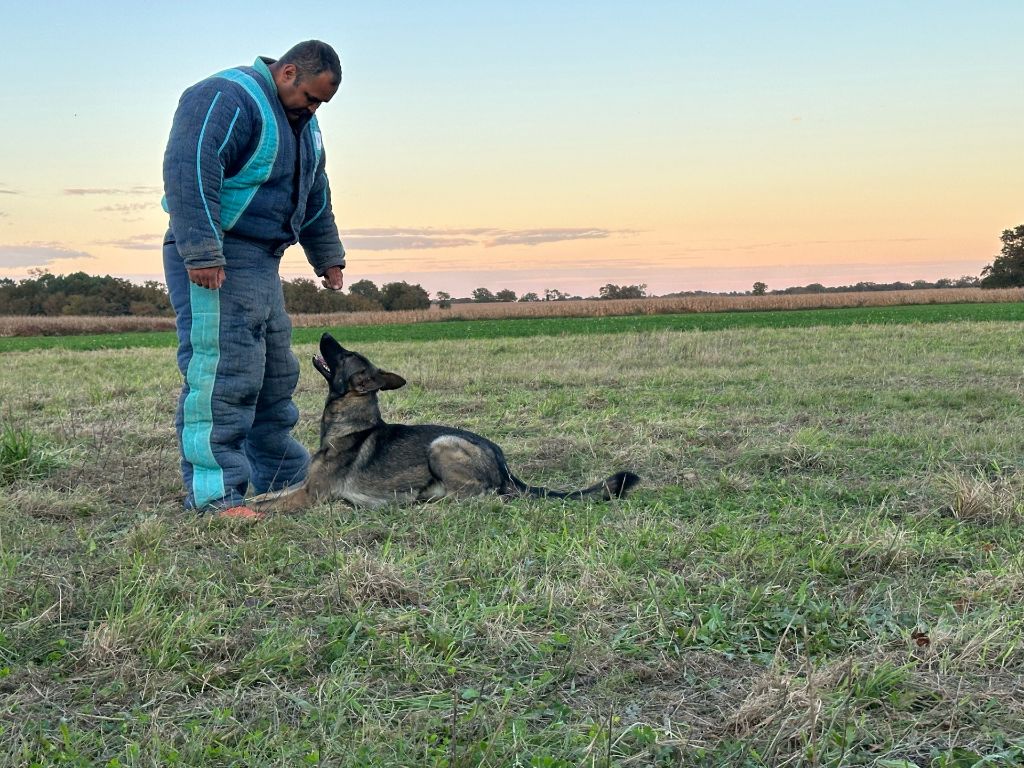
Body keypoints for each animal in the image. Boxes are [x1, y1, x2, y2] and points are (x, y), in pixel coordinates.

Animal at [247, 335, 634, 512]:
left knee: (479, 496)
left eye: (344, 354)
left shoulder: (311, 496)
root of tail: (503, 463)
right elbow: (265, 495)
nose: (327, 334)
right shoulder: (302, 486)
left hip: (442, 445)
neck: (350, 425)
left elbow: (267, 507)